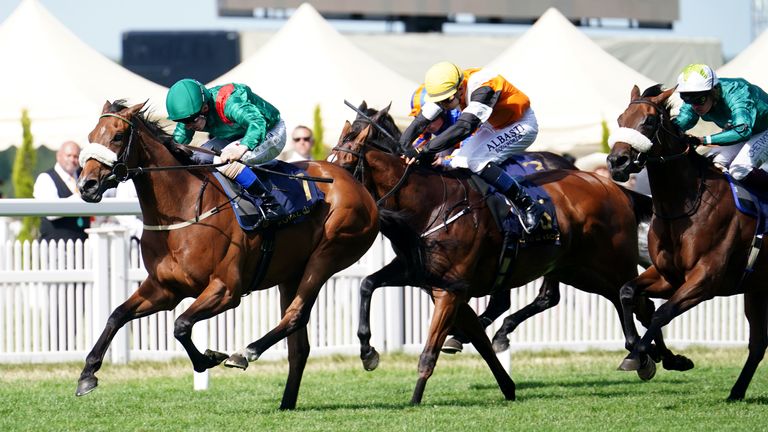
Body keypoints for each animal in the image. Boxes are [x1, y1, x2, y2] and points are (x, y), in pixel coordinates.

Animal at [75, 100, 380, 408]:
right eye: (90, 136)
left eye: (117, 136)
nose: (86, 185)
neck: (185, 207)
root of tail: (354, 182)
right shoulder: (164, 289)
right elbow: (117, 315)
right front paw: (87, 374)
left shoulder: (226, 290)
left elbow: (181, 325)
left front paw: (208, 359)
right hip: (290, 274)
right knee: (298, 345)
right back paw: (286, 403)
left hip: (328, 255)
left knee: (296, 314)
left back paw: (246, 353)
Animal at [332, 103, 688, 404]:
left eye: (348, 163)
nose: (335, 196)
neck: (429, 205)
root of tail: (613, 187)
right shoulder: (422, 277)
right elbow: (367, 285)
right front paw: (368, 352)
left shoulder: (451, 290)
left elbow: (435, 347)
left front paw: (415, 398)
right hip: (580, 270)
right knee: (623, 299)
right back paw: (655, 357)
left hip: (607, 263)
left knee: (633, 300)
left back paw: (646, 355)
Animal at [608, 84, 768, 402]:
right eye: (620, 119)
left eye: (648, 121)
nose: (616, 162)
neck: (684, 206)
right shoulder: (668, 275)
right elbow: (628, 293)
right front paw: (654, 355)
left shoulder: (705, 280)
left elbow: (662, 313)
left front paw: (643, 357)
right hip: (757, 290)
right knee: (758, 344)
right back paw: (736, 392)